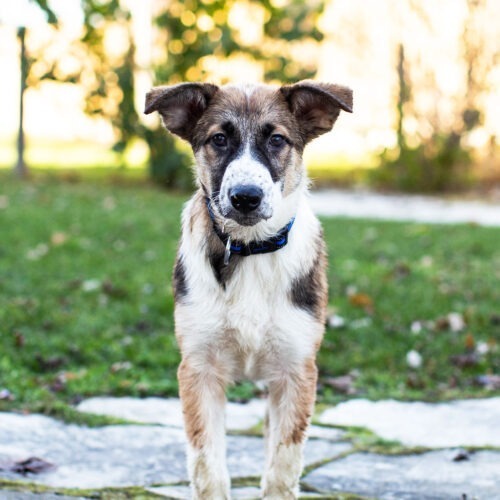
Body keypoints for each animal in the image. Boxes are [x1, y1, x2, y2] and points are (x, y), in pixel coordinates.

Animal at [146, 80, 352, 498]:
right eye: (219, 139)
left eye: (276, 139)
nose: (245, 197)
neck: (251, 248)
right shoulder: (198, 369)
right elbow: (207, 464)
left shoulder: (296, 371)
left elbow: (282, 465)